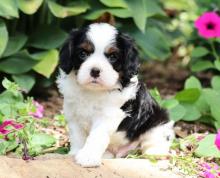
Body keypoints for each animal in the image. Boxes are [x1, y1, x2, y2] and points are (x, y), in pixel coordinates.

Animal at [57, 22, 174, 167]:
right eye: (83, 53)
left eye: (113, 56)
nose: (95, 71)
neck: (93, 91)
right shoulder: (73, 113)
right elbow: (77, 135)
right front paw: (75, 152)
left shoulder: (108, 116)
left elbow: (97, 136)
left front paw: (88, 157)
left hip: (157, 121)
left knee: (155, 139)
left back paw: (155, 152)